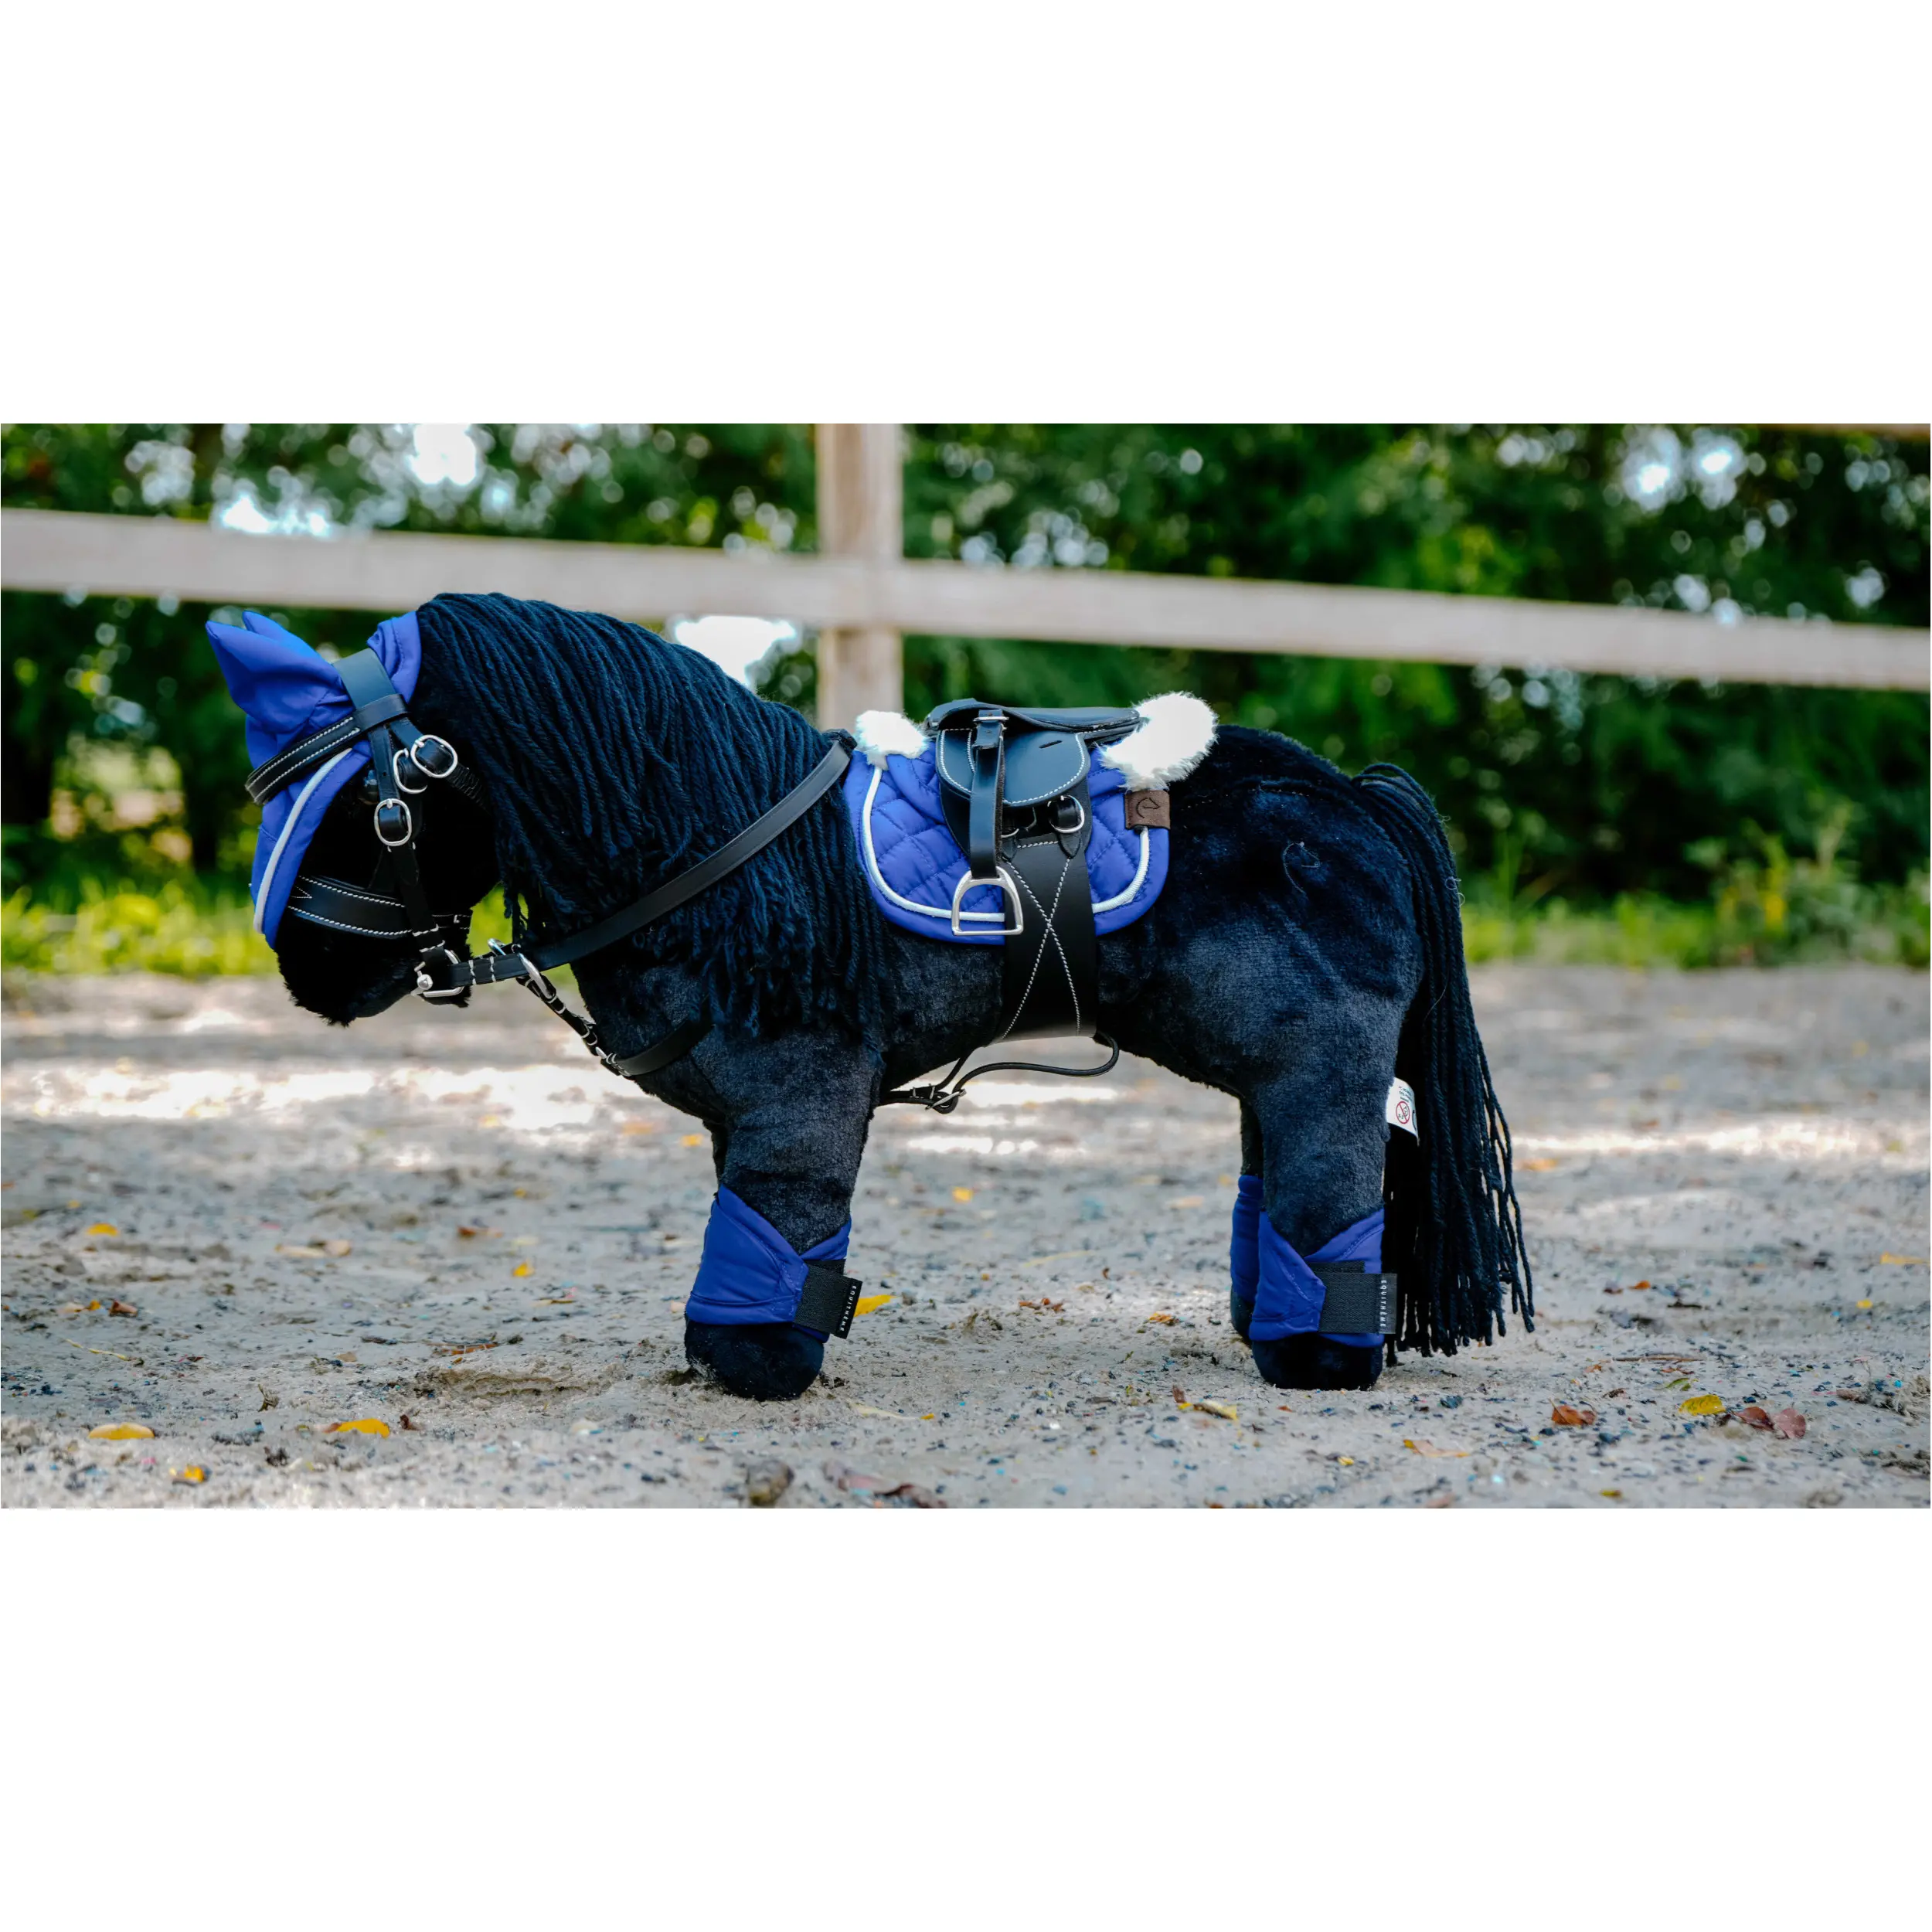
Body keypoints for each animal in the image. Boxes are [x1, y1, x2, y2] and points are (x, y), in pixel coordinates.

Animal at [210, 590, 1531, 1402]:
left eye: (371, 803)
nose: (304, 971)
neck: (717, 842)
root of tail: (1350, 796)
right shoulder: (746, 1115)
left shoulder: (803, 1097)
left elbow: (779, 1236)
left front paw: (752, 1362)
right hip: (1270, 1072)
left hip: (1326, 1071)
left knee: (1334, 1187)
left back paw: (1320, 1354)